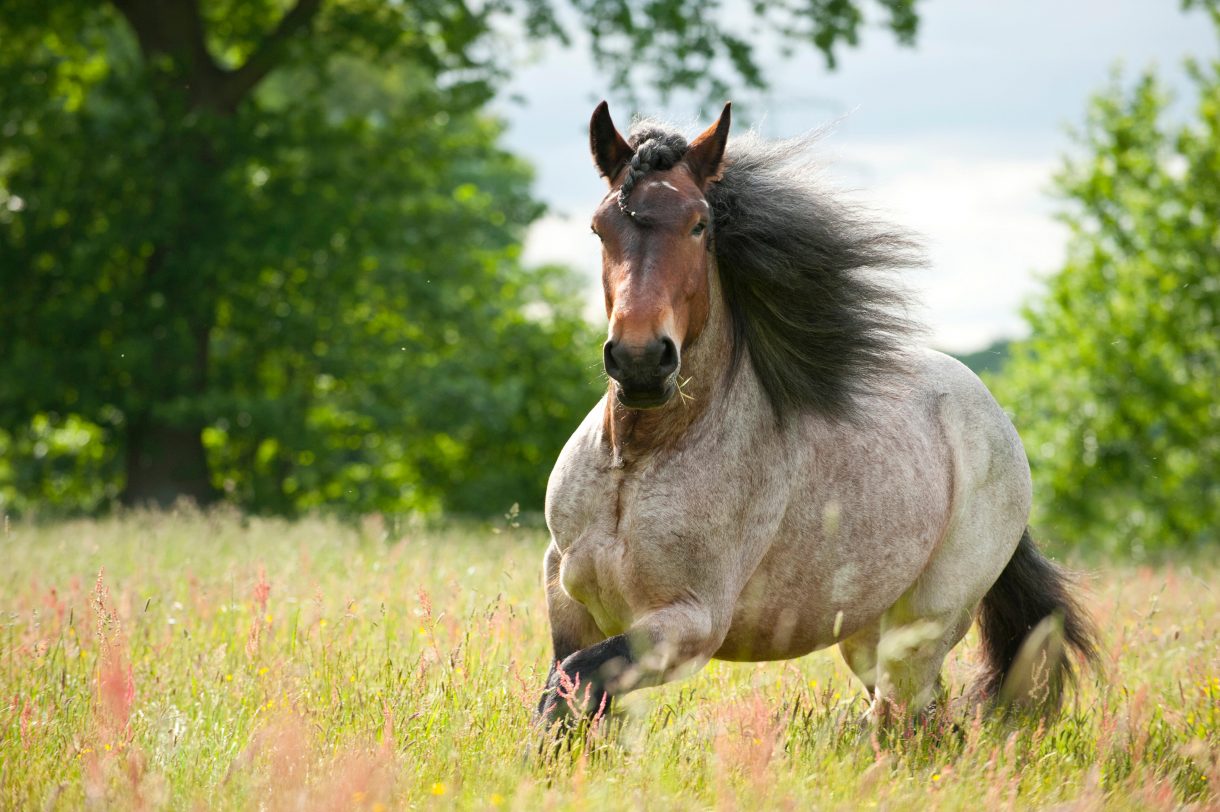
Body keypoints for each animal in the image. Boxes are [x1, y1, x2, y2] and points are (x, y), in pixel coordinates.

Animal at [535, 101, 1097, 728]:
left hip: (923, 629)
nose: (639, 361)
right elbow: (569, 695)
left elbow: (572, 686)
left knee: (902, 718)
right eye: (600, 227)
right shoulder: (568, 600)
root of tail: (996, 418)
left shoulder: (691, 624)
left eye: (700, 224)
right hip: (866, 635)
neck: (636, 464)